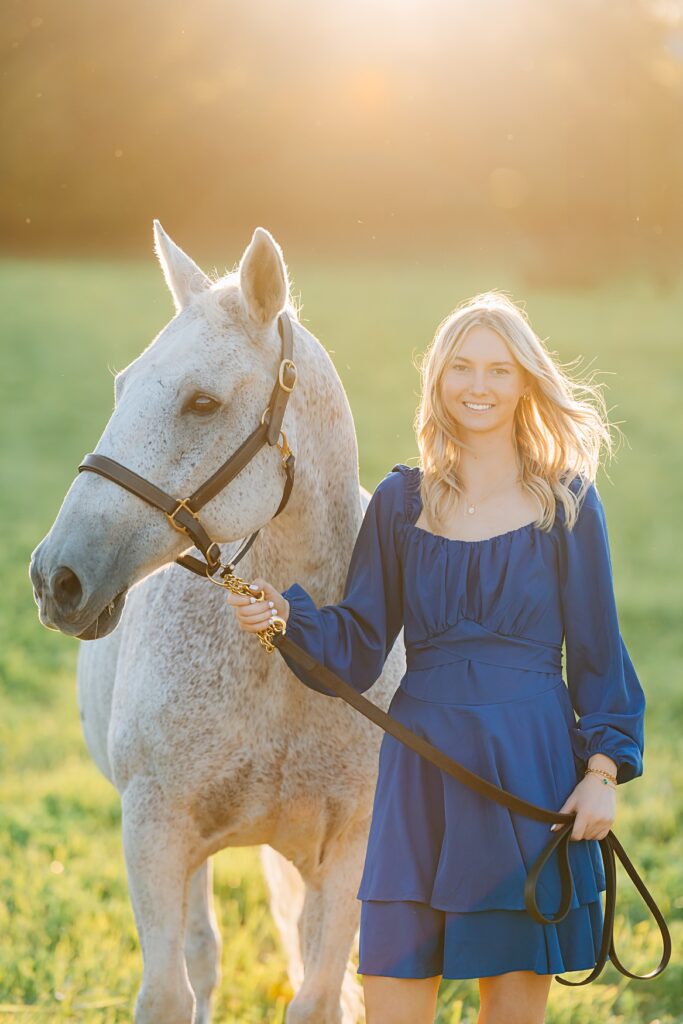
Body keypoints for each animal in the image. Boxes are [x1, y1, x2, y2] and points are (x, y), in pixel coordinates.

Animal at [29, 224, 405, 1024]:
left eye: (201, 403)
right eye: (121, 387)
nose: (56, 578)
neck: (283, 662)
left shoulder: (351, 850)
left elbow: (318, 997)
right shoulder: (155, 830)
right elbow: (170, 993)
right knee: (203, 957)